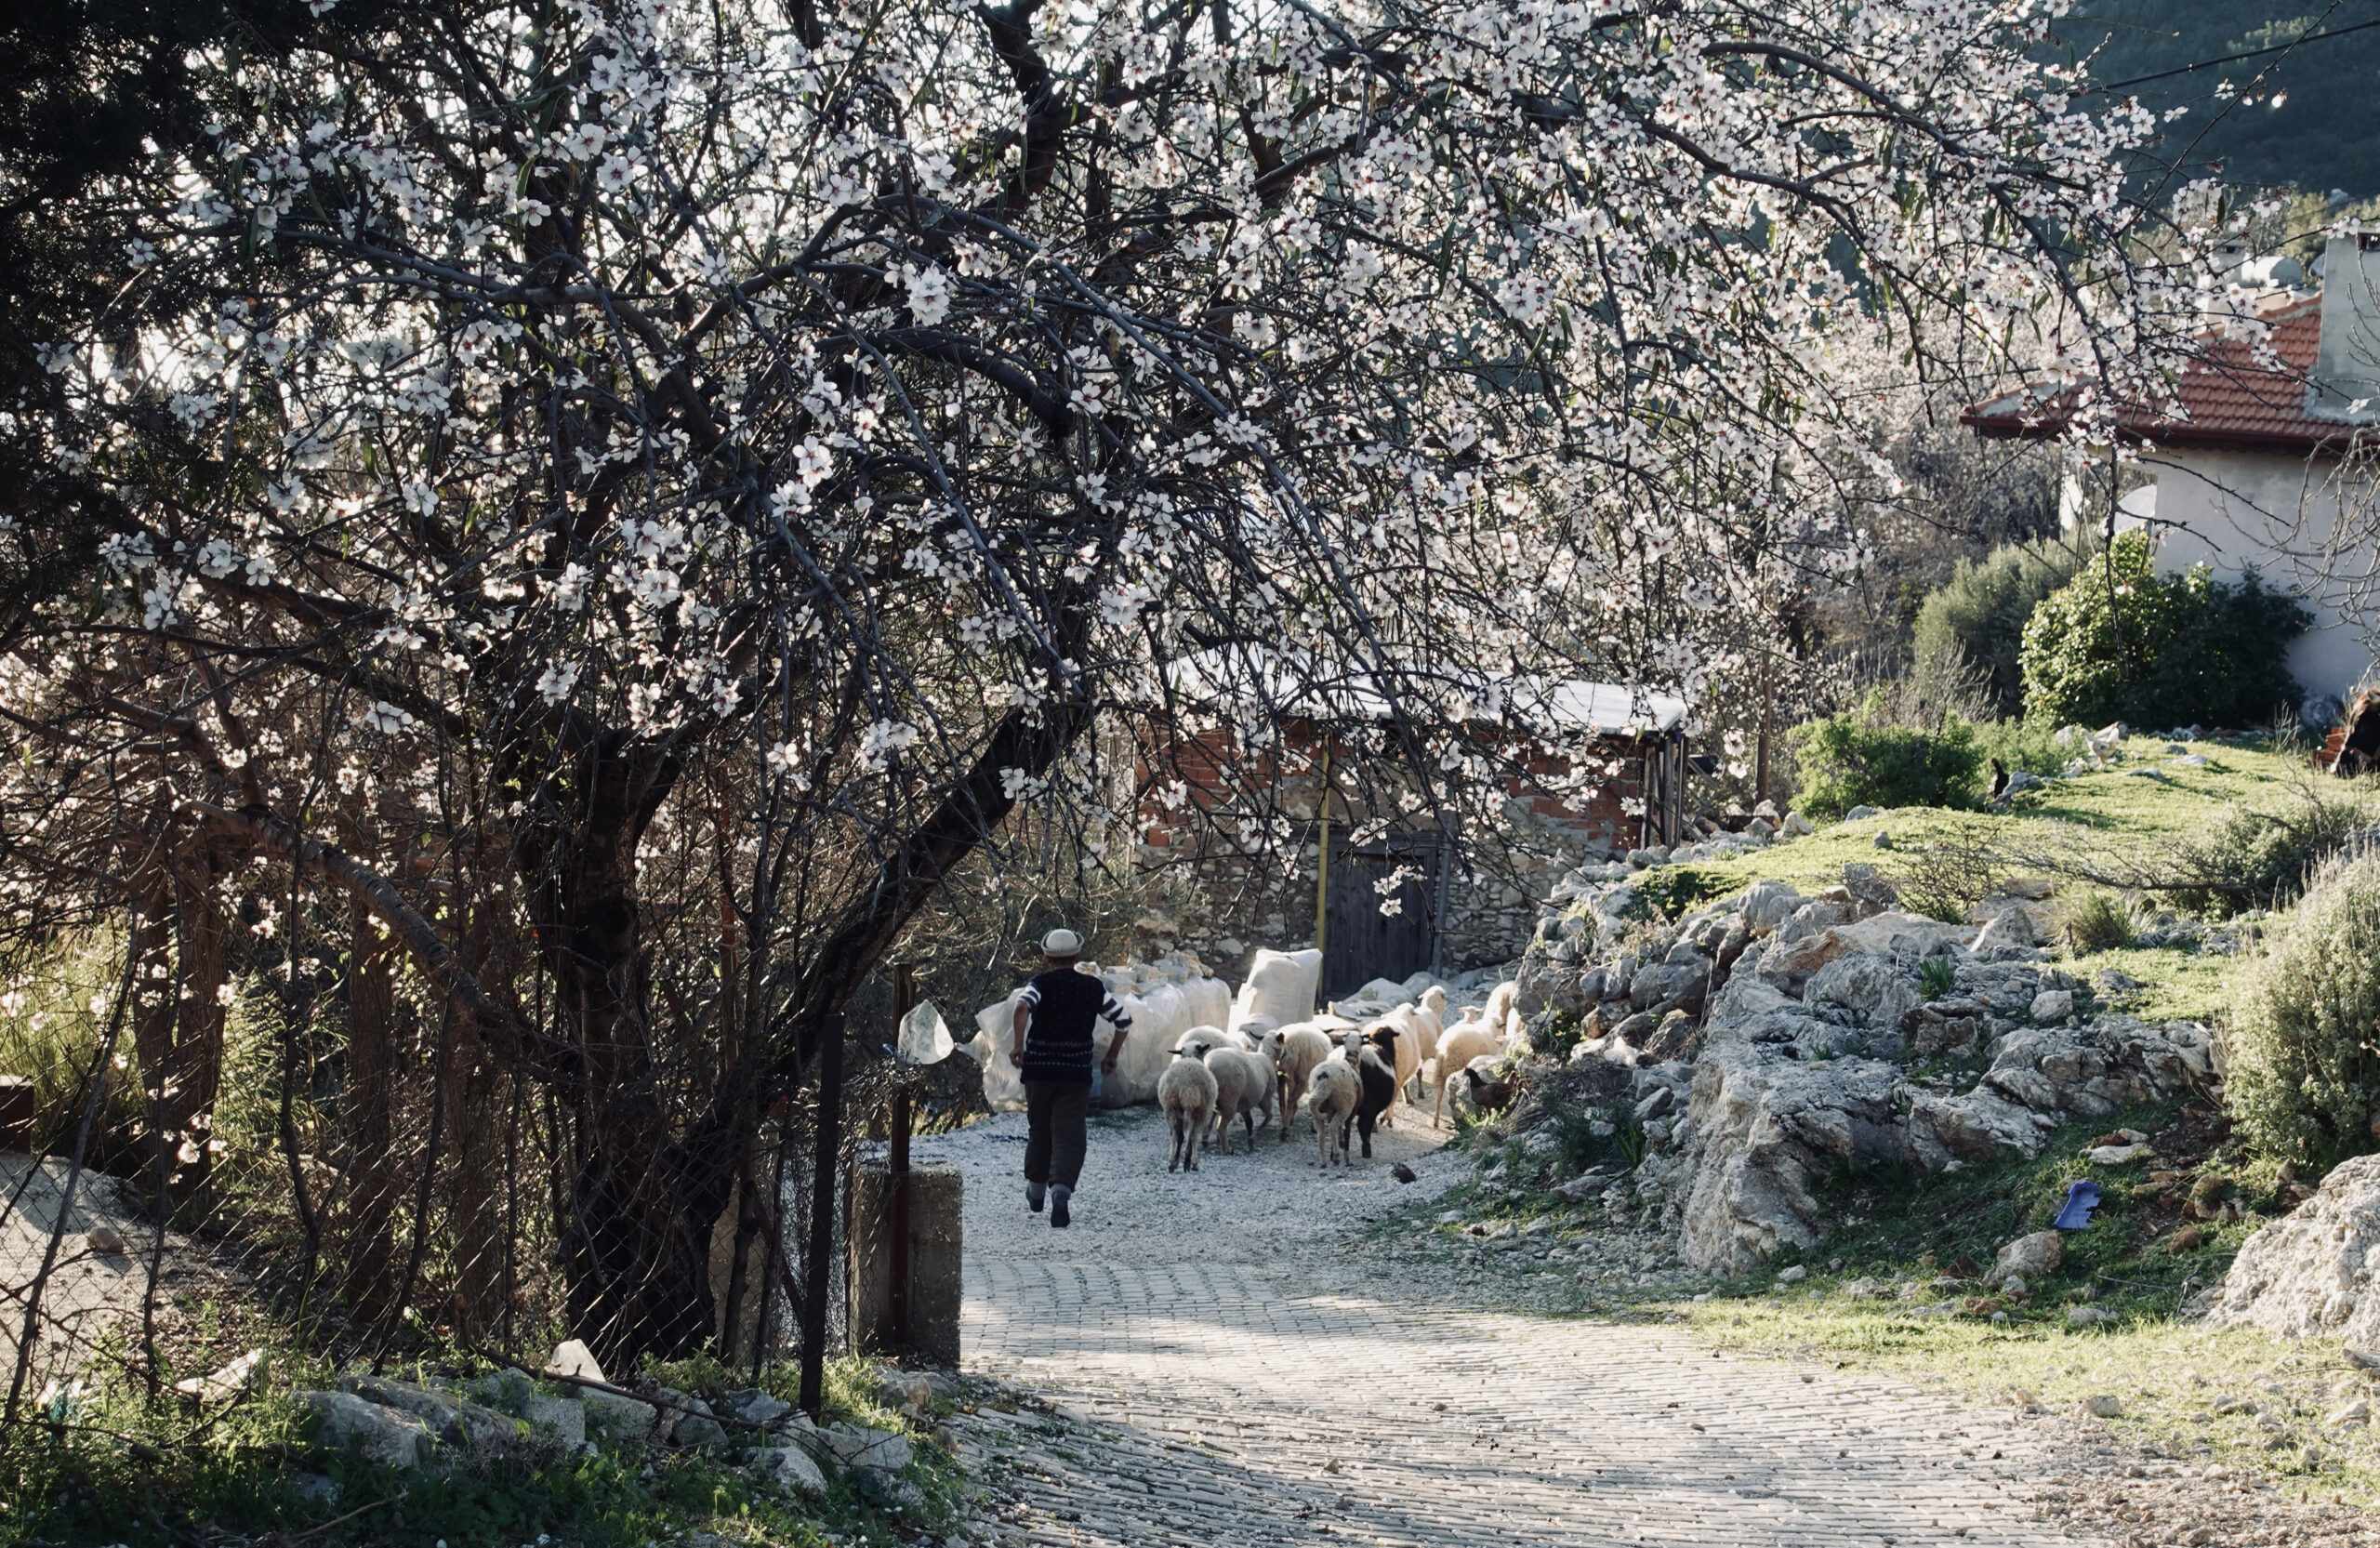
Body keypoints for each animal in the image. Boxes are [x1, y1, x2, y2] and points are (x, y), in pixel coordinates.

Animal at [1157, 1048, 1218, 1171]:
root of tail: (1189, 1084)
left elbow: (1180, 1137)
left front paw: (1177, 1160)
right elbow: (1189, 1136)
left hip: (1171, 1108)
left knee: (1176, 1135)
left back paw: (1173, 1162)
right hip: (1200, 1111)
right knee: (1192, 1136)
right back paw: (1190, 1162)